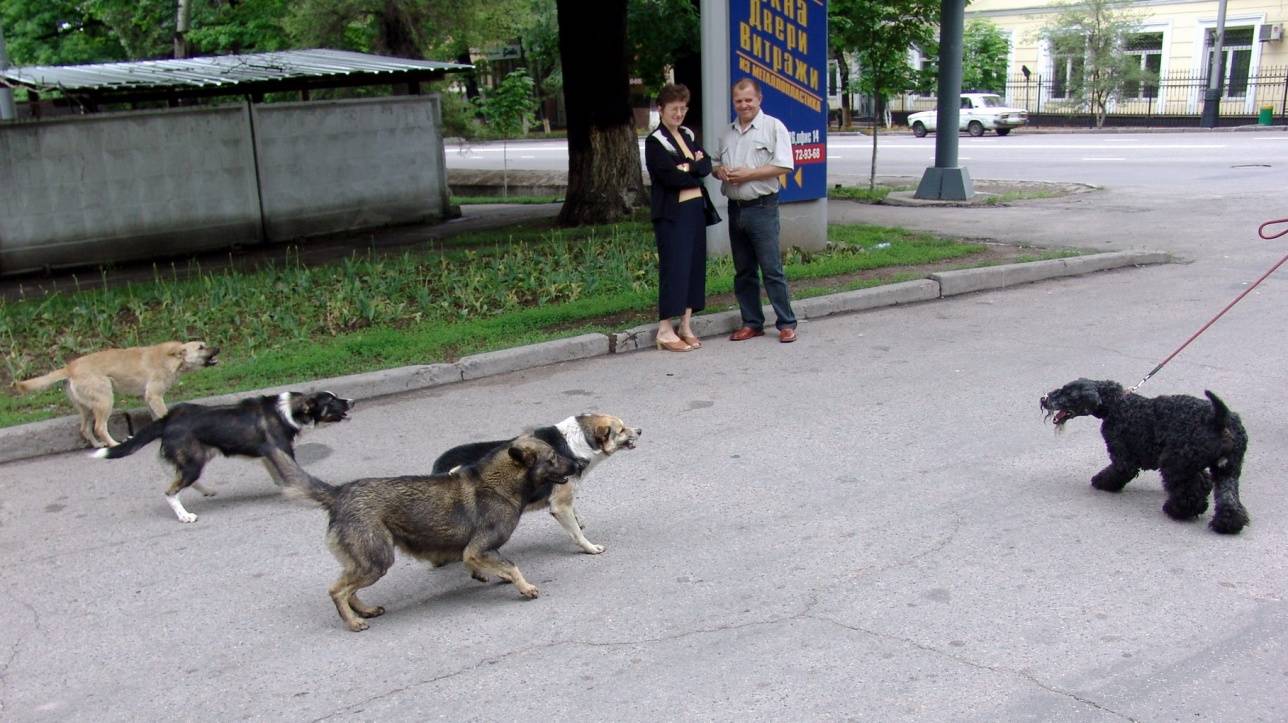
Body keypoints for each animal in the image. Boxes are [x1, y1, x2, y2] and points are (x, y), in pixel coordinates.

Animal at [15, 340, 218, 445]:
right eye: (200, 347)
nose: (219, 348)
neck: (173, 359)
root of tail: (70, 367)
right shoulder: (154, 396)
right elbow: (163, 415)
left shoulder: (149, 398)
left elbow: (156, 418)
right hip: (105, 401)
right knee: (99, 428)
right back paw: (113, 444)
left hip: (87, 408)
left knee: (85, 429)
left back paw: (98, 445)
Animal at [91, 391, 355, 520]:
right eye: (331, 400)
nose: (352, 401)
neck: (288, 410)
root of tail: (169, 418)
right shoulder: (282, 451)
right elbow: (293, 475)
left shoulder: (269, 455)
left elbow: (280, 476)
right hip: (193, 462)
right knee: (171, 491)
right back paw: (185, 516)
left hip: (195, 459)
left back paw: (206, 491)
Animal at [435, 412, 641, 551]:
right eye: (621, 429)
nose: (640, 430)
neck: (577, 443)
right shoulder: (560, 504)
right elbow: (577, 533)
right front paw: (590, 548)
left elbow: (575, 517)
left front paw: (579, 520)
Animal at [1045, 381, 1246, 533]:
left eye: (1066, 392)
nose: (1043, 399)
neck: (1116, 404)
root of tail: (1220, 421)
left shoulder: (1123, 458)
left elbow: (1117, 471)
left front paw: (1101, 482)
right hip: (1226, 469)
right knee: (1226, 495)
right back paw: (1228, 523)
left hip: (1175, 464)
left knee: (1190, 491)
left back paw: (1177, 510)